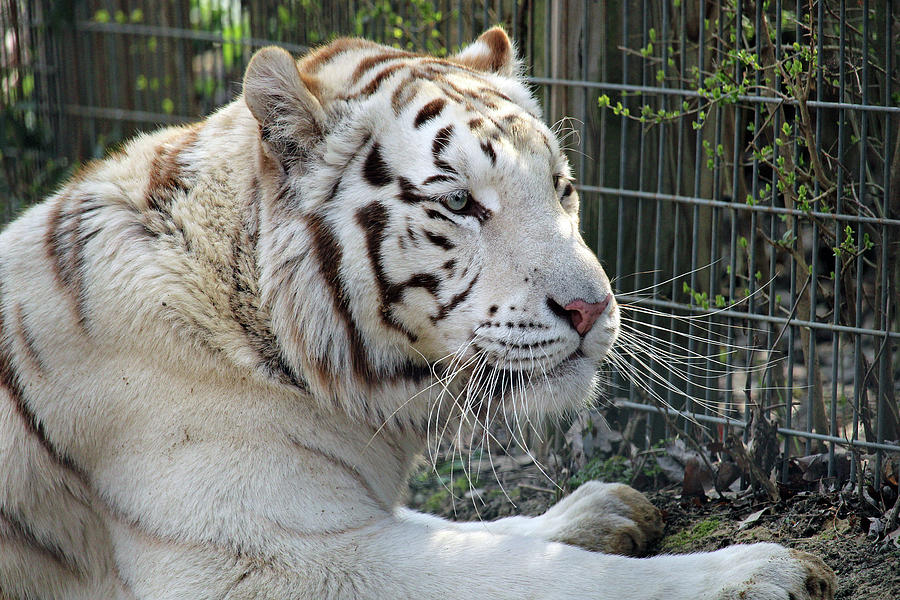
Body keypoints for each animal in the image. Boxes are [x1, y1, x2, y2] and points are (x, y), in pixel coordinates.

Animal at [0, 27, 832, 600]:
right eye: (459, 203)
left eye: (561, 188)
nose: (591, 307)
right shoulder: (268, 560)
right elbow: (530, 574)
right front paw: (762, 572)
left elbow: (468, 533)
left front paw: (596, 510)